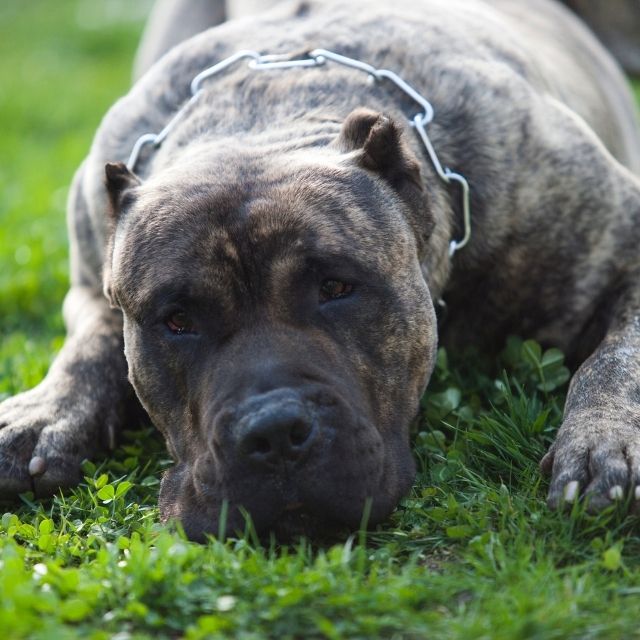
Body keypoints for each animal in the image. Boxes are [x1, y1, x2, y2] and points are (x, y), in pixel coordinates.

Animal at [1, 0, 640, 540]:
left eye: (337, 287)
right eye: (176, 320)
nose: (272, 432)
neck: (273, 111)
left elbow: (615, 359)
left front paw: (603, 442)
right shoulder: (92, 284)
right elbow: (88, 349)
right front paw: (42, 415)